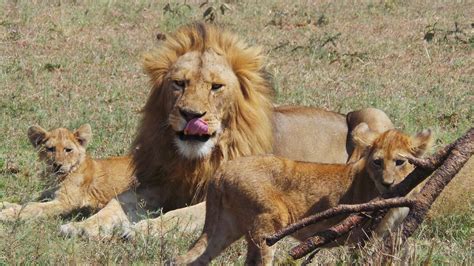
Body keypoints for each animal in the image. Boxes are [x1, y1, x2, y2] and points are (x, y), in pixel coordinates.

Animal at [0, 124, 135, 222]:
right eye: (50, 149)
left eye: (68, 150)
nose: (57, 165)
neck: (55, 179)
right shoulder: (46, 194)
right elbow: (28, 200)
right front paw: (6, 204)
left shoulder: (65, 202)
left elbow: (34, 206)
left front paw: (7, 213)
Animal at [59, 22, 392, 239]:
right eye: (179, 83)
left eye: (216, 87)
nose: (191, 115)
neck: (197, 159)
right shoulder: (161, 184)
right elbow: (117, 202)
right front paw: (82, 226)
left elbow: (178, 215)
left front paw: (141, 229)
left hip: (372, 115)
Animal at [175, 124, 434, 266]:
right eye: (378, 162)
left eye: (399, 162)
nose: (387, 184)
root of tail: (222, 170)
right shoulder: (363, 238)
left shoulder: (394, 237)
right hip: (269, 223)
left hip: (226, 227)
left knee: (190, 258)